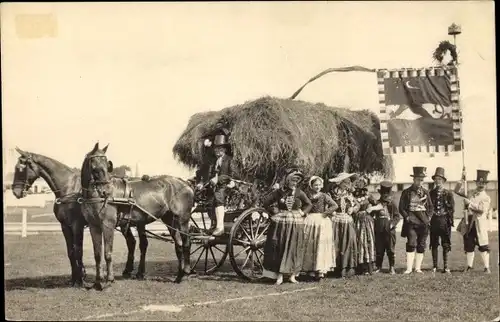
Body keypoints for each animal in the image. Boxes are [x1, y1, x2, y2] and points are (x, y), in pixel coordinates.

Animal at [10, 148, 87, 286]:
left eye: (21, 168)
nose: (16, 192)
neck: (69, 189)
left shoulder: (77, 226)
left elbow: (78, 251)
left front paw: (81, 280)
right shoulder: (65, 226)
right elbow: (71, 252)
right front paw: (74, 280)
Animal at [79, 142, 194, 290]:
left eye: (106, 166)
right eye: (95, 168)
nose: (106, 192)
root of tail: (185, 183)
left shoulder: (108, 225)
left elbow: (108, 253)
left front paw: (109, 280)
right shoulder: (94, 226)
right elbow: (97, 254)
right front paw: (98, 282)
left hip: (182, 219)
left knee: (186, 243)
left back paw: (186, 271)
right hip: (170, 220)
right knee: (178, 244)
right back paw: (179, 275)